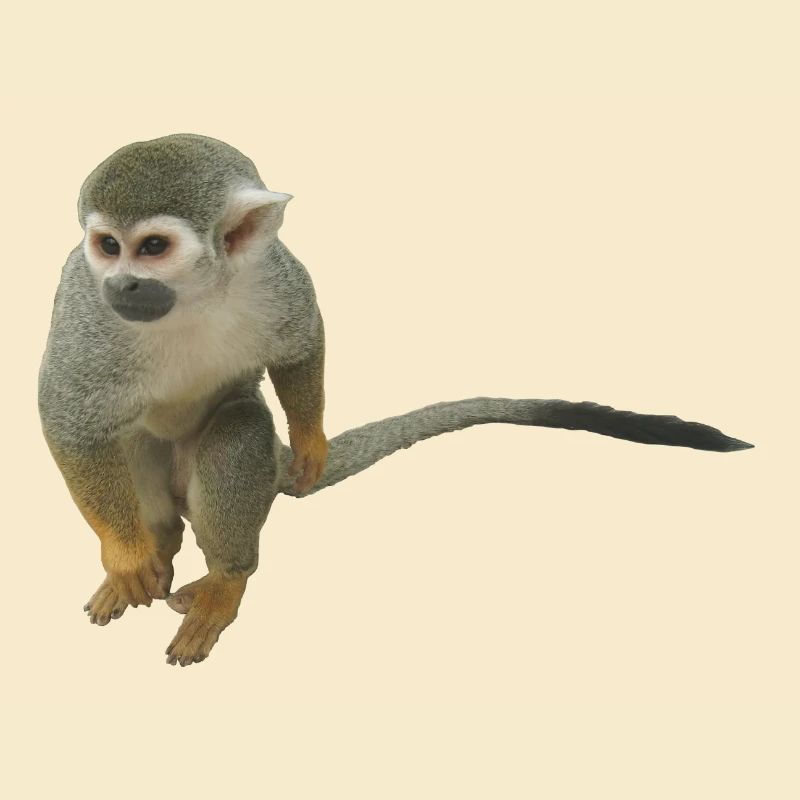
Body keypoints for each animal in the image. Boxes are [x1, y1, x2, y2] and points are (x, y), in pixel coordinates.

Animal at [38, 134, 753, 667]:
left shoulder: (273, 274)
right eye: (107, 246)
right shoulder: (86, 307)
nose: (124, 284)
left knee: (239, 426)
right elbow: (67, 417)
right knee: (130, 443)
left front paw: (312, 442)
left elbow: (303, 342)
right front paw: (126, 555)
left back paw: (228, 578)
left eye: (153, 247)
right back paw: (152, 548)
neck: (195, 297)